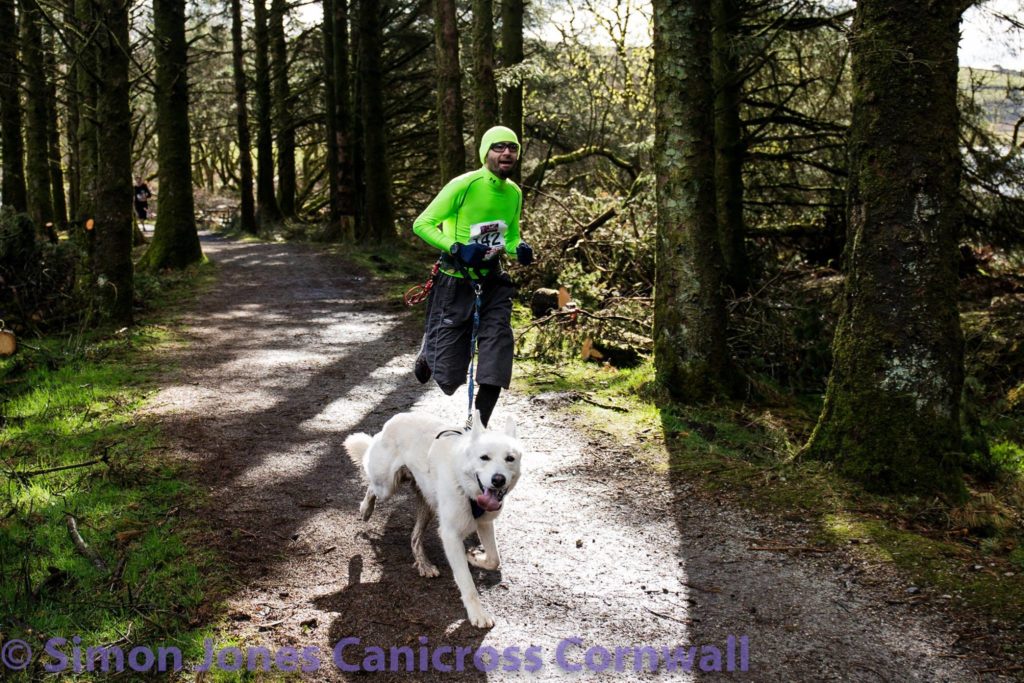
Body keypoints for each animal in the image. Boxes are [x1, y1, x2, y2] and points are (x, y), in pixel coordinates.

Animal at [344, 411, 524, 630]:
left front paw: (473, 557)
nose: (498, 480)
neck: (464, 484)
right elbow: (467, 583)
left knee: (414, 537)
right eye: (484, 457)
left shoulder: (484, 523)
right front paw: (477, 614)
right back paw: (366, 509)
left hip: (426, 506)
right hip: (386, 487)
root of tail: (394, 420)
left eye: (510, 458)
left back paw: (424, 565)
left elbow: (494, 560)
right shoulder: (450, 535)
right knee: (371, 486)